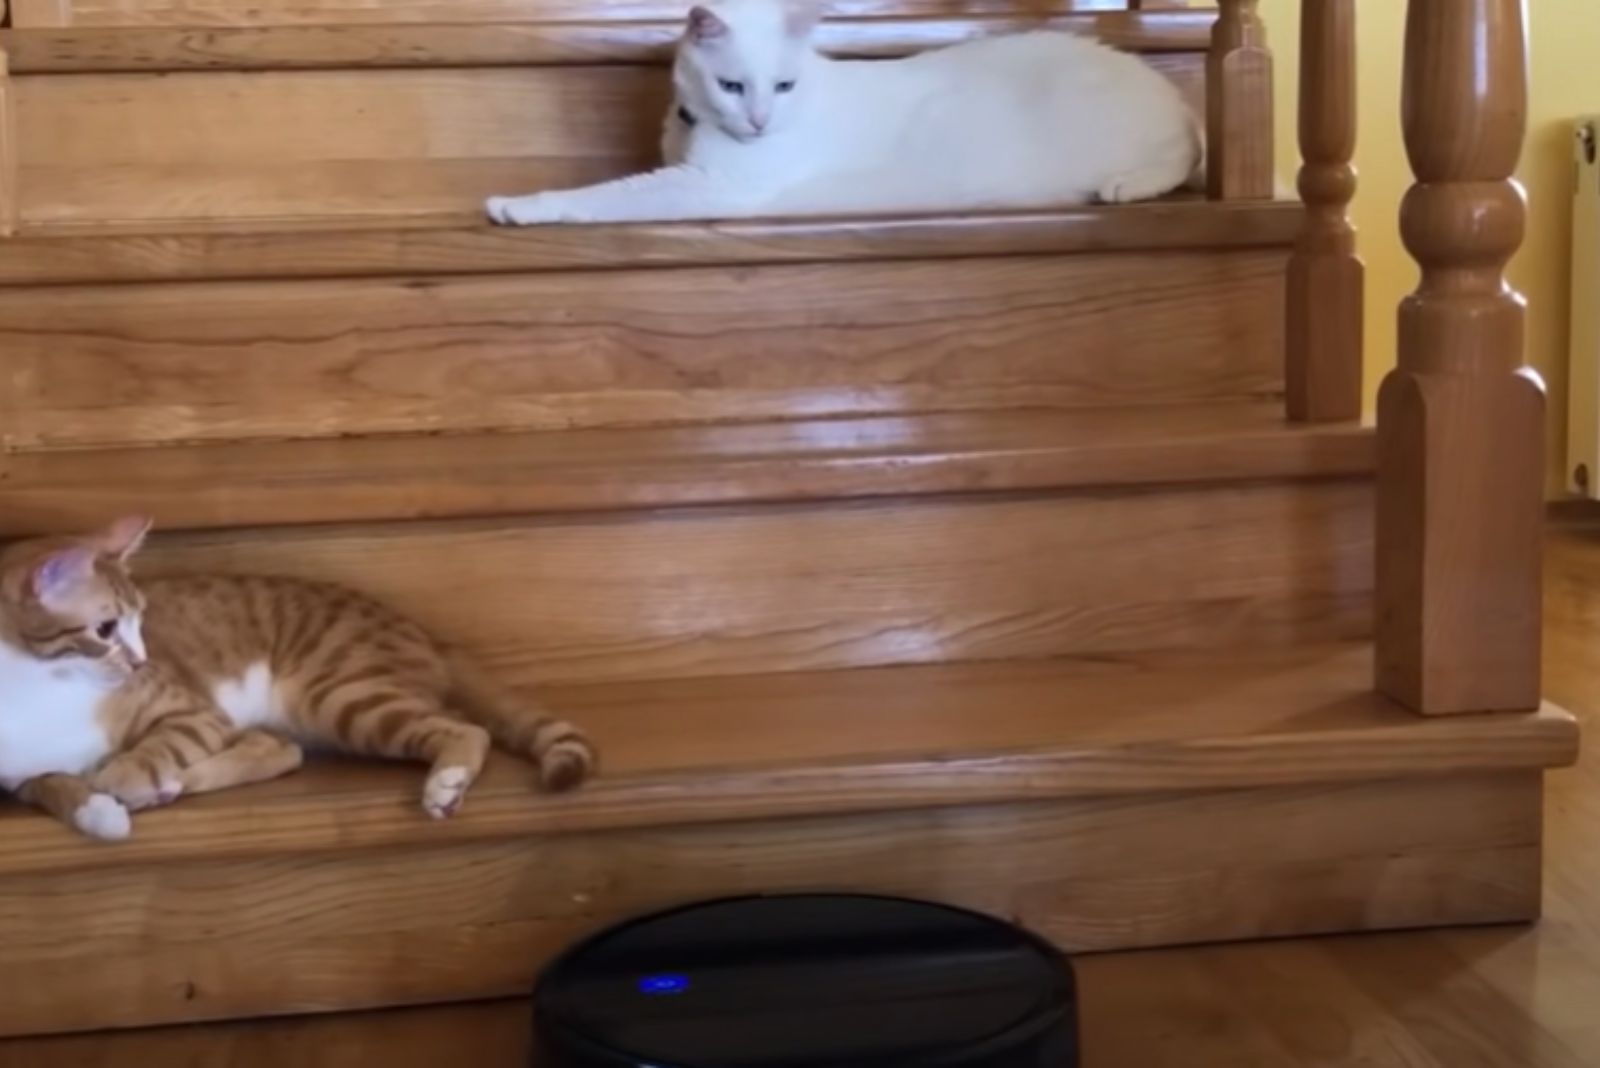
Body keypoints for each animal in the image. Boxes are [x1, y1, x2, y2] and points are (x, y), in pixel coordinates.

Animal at [0, 518, 598, 844]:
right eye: (106, 629)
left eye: (141, 621)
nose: (142, 661)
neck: (35, 686)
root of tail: (421, 628)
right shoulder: (18, 774)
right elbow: (52, 786)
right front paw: (97, 809)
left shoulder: (193, 711)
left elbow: (153, 749)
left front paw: (119, 781)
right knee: (278, 748)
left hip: (337, 695)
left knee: (465, 729)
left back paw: (447, 780)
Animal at [486, 0, 1203, 225]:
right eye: (732, 85)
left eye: (783, 86)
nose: (758, 122)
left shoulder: (710, 187)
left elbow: (604, 195)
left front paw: (517, 205)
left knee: (1182, 159)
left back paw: (1124, 185)